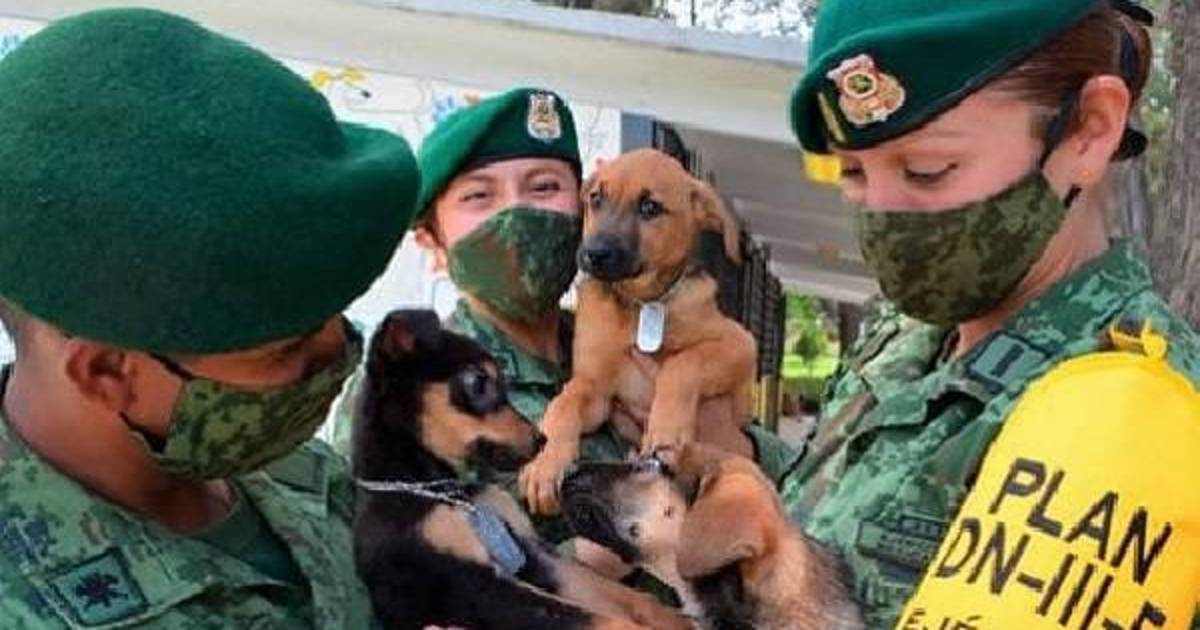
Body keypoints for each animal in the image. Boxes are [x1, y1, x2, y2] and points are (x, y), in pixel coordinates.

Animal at [351, 309, 693, 630]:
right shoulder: (470, 584)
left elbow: (632, 599)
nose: (542, 440)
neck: (439, 489)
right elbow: (600, 620)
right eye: (478, 383)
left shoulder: (534, 552)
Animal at [520, 148, 757, 515]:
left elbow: (683, 364)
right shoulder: (597, 391)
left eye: (650, 207)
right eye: (595, 199)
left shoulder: (740, 343)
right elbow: (564, 405)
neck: (640, 305)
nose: (592, 254)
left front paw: (666, 427)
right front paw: (546, 464)